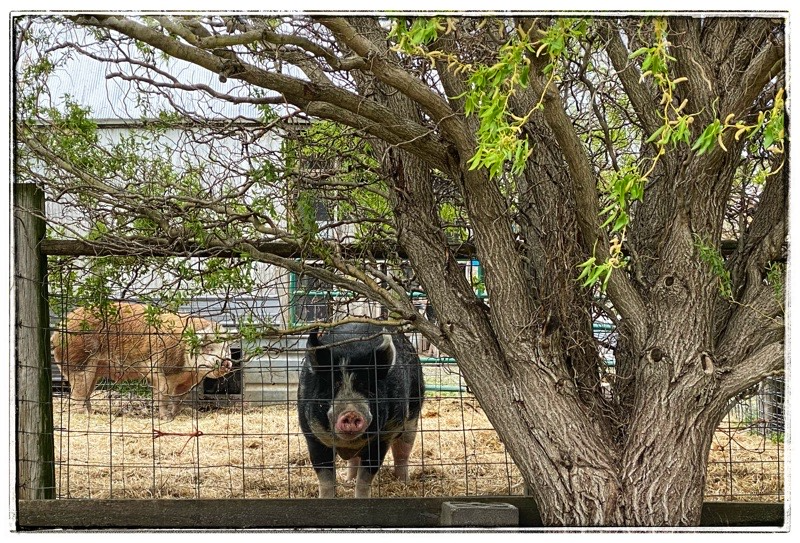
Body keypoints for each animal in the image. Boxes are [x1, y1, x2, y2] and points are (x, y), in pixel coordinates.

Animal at [50, 302, 232, 420]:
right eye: (209, 347)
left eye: (227, 348)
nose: (226, 362)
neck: (188, 371)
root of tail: (58, 331)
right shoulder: (162, 370)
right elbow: (163, 395)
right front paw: (166, 418)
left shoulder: (187, 381)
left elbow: (179, 399)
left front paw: (176, 414)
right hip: (78, 362)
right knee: (78, 392)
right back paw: (85, 415)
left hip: (94, 369)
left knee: (86, 391)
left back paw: (92, 412)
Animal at [297, 322, 425, 498]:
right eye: (334, 386)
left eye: (366, 386)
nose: (351, 413)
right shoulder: (313, 436)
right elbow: (325, 478)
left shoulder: (383, 437)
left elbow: (365, 478)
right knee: (354, 460)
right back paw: (348, 480)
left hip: (412, 415)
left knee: (402, 452)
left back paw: (404, 482)